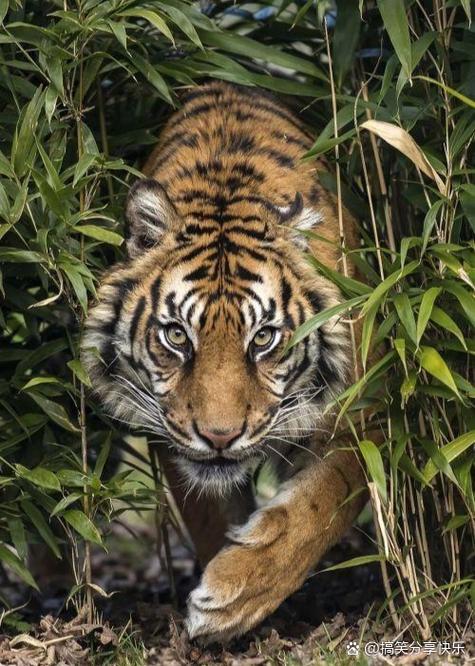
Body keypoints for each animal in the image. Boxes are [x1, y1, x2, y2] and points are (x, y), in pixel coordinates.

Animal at [82, 81, 368, 642]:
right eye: (176, 335)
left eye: (263, 339)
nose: (219, 437)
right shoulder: (168, 430)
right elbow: (210, 514)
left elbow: (322, 504)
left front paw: (231, 598)